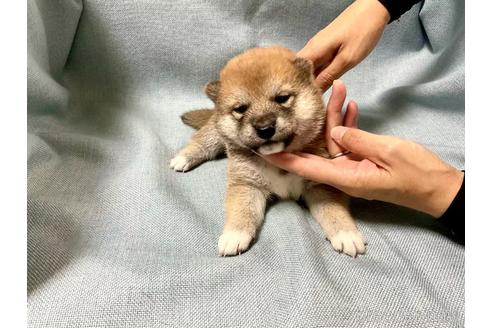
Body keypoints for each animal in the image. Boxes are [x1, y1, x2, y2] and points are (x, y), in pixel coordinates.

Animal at [169, 46, 366, 256]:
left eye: (282, 98)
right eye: (240, 109)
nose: (264, 129)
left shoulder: (320, 184)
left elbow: (333, 210)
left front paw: (346, 233)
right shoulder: (247, 184)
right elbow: (242, 211)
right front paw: (234, 235)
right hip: (213, 134)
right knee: (202, 142)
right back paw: (184, 157)